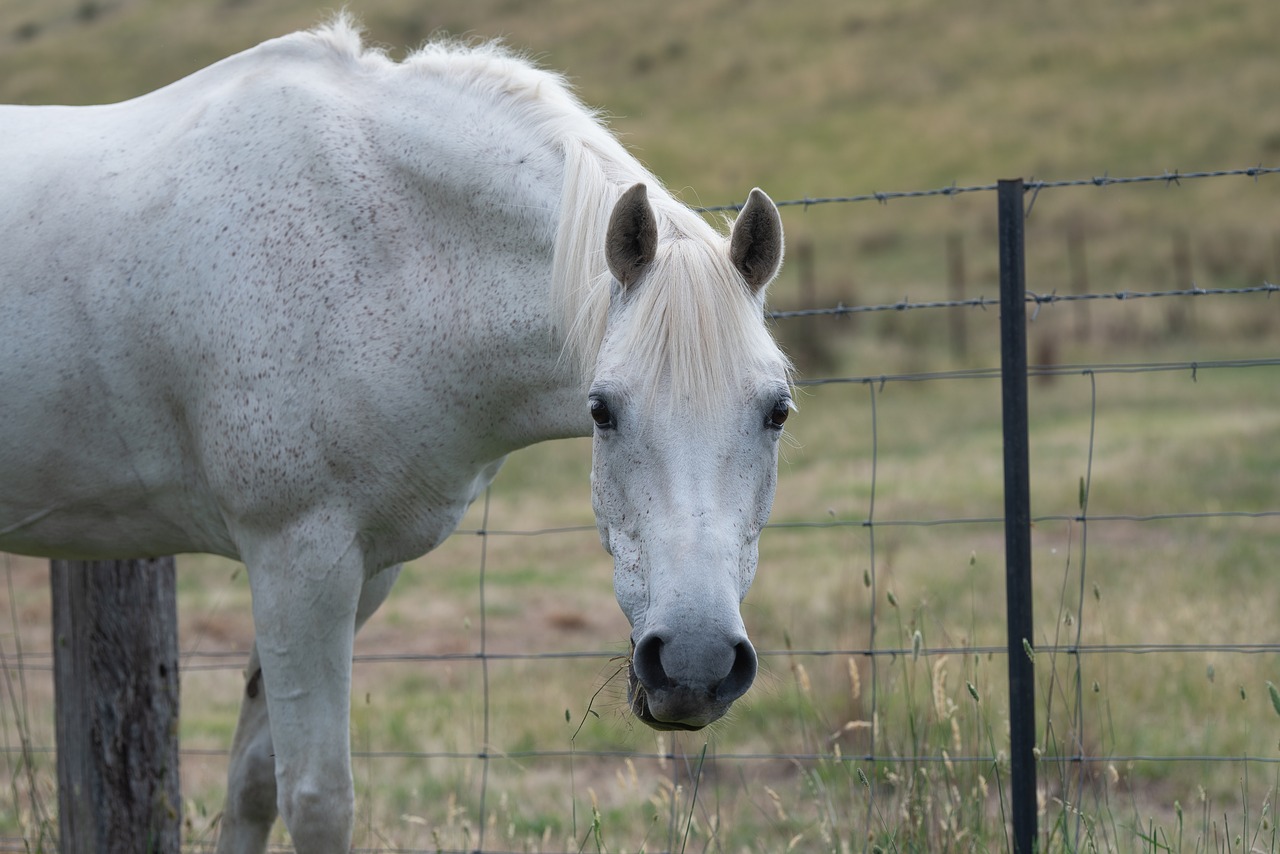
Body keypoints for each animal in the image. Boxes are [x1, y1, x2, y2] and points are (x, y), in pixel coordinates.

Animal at [0, 20, 788, 854]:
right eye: (602, 410)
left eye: (777, 411)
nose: (695, 663)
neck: (386, 248)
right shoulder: (296, 562)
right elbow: (316, 799)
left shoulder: (362, 572)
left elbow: (252, 785)